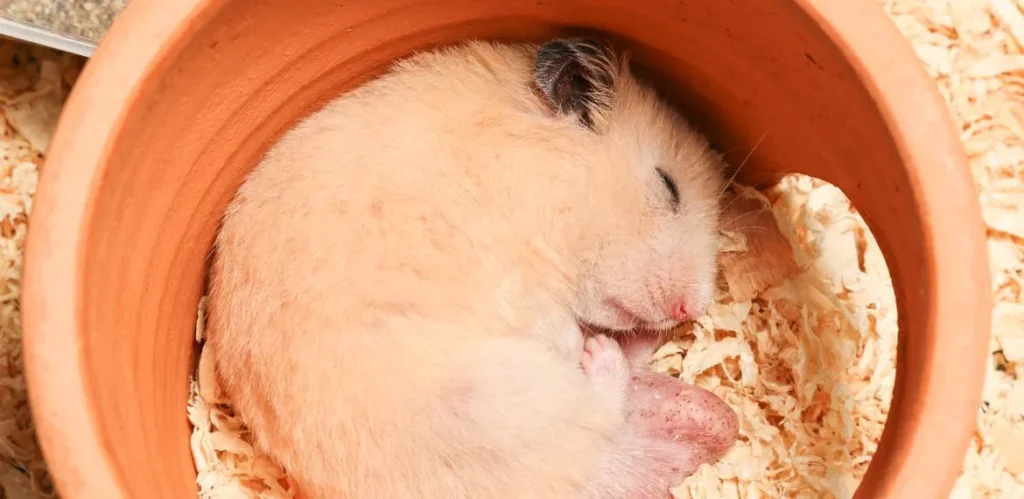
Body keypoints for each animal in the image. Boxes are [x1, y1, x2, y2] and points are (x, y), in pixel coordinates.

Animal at [207, 37, 736, 498]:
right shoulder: (521, 278)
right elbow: (555, 324)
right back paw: (600, 353)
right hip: (495, 398)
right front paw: (579, 339)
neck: (540, 172)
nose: (689, 310)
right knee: (600, 409)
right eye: (668, 186)